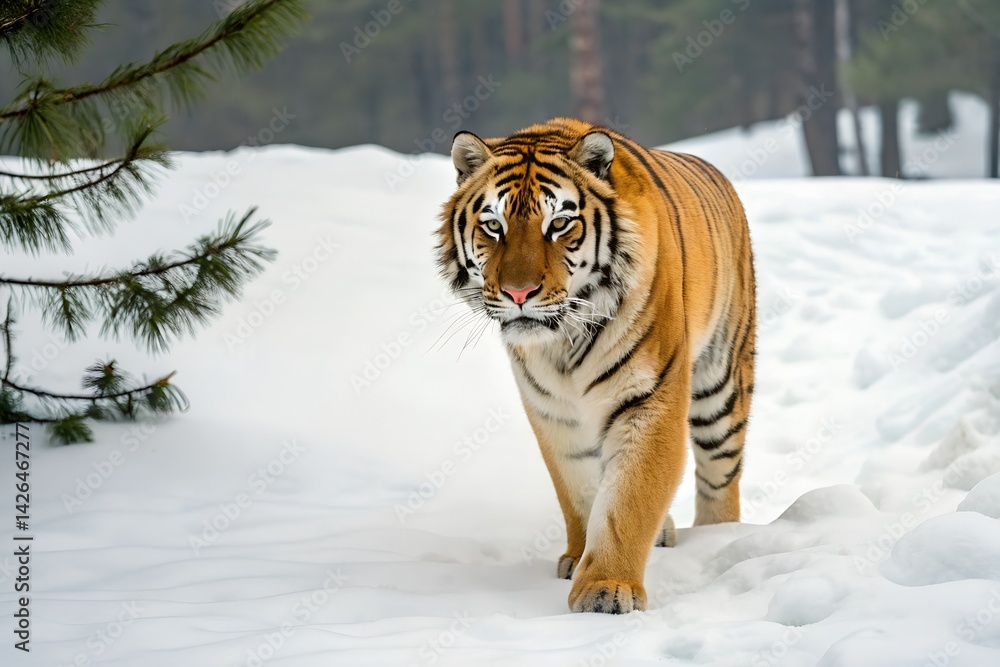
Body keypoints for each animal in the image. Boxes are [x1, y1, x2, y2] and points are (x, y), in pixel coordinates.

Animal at [435, 118, 756, 614]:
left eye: (559, 224)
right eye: (493, 226)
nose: (518, 293)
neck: (562, 343)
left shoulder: (649, 399)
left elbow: (627, 501)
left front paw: (606, 589)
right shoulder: (554, 413)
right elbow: (581, 492)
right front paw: (579, 558)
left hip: (720, 386)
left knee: (720, 475)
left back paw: (718, 537)